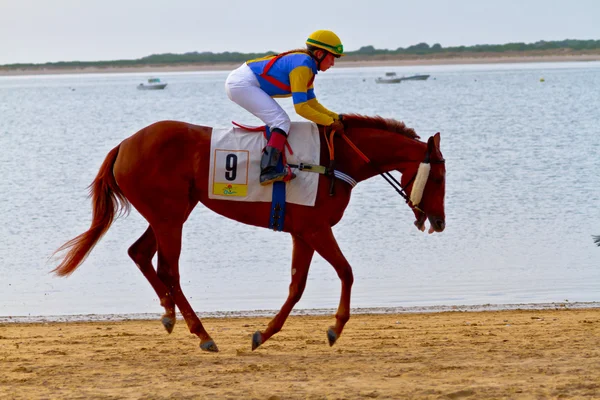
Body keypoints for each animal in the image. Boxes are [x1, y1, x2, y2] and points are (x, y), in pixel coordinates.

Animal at [52, 114, 446, 352]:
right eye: (439, 177)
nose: (440, 222)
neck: (335, 161)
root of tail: (125, 144)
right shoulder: (316, 228)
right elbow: (346, 272)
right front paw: (335, 327)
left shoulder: (302, 232)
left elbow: (297, 285)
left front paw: (264, 333)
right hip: (169, 217)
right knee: (168, 270)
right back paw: (202, 333)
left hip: (171, 213)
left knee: (140, 253)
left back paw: (169, 314)